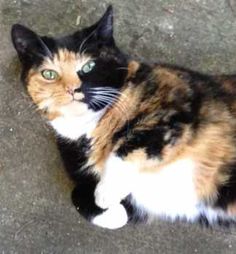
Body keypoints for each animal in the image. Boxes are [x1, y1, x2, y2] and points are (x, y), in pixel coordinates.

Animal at [11, 5, 236, 228]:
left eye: (88, 66)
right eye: (49, 74)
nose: (72, 89)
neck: (90, 126)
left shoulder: (173, 110)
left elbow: (129, 146)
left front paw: (105, 194)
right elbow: (78, 196)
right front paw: (114, 212)